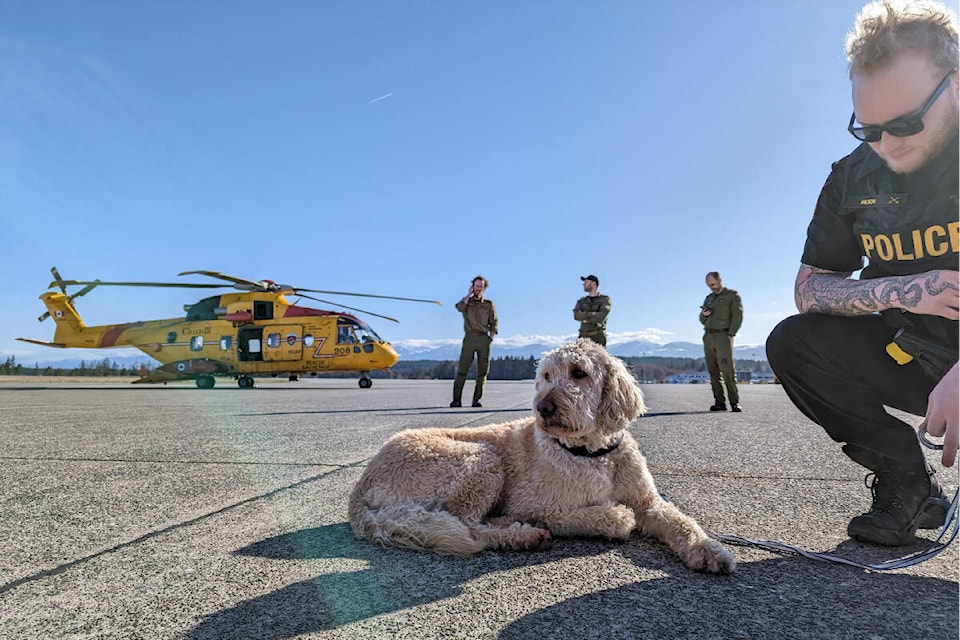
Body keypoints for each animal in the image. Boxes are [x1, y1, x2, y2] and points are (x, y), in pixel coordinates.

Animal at [352, 338, 736, 572]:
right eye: (547, 376)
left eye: (579, 373)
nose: (543, 407)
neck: (592, 452)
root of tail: (362, 484)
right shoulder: (541, 505)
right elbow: (591, 517)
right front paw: (612, 517)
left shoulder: (648, 501)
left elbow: (682, 521)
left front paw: (709, 550)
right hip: (481, 460)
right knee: (468, 524)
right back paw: (521, 534)